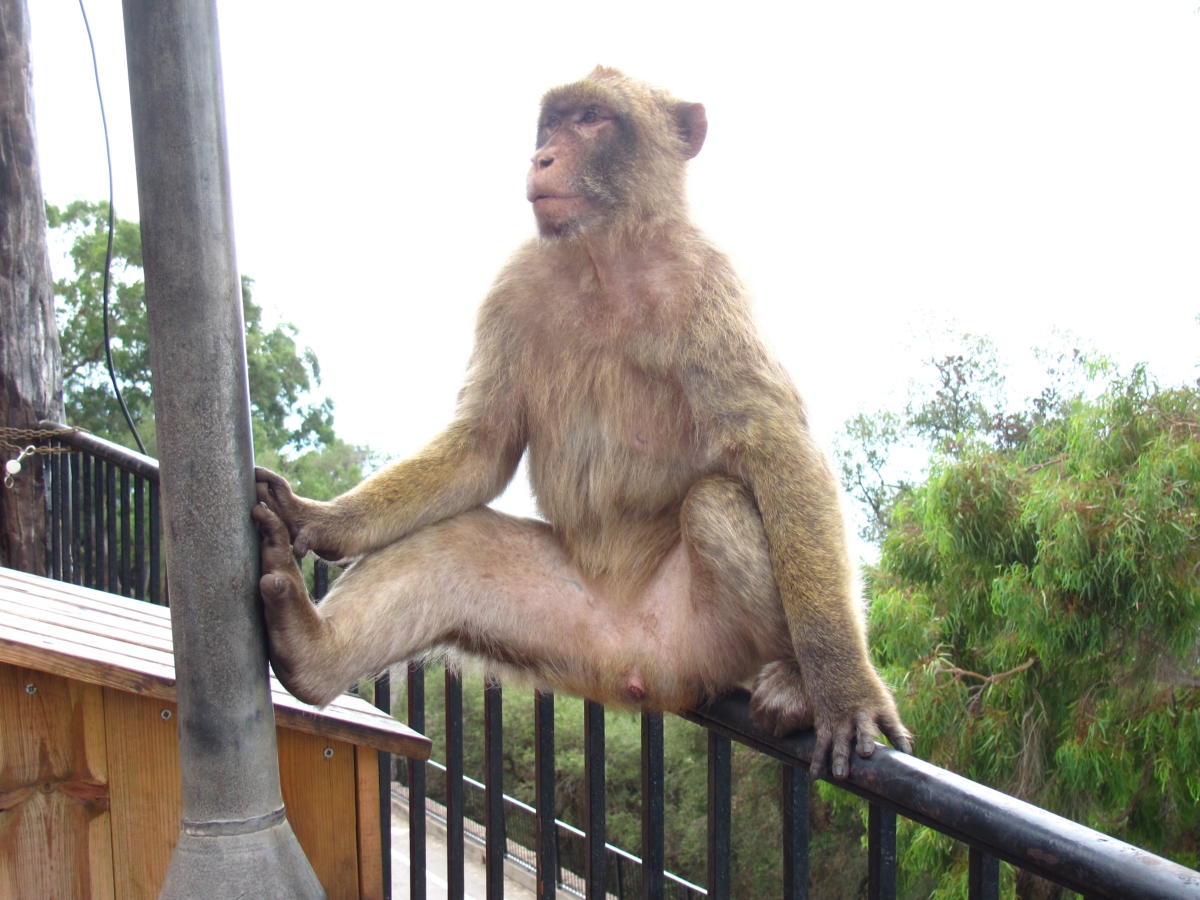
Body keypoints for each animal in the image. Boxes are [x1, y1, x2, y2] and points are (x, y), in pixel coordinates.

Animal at [252, 67, 912, 781]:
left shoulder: (710, 280)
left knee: (717, 503)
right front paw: (321, 520)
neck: (605, 261)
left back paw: (790, 679)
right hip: (566, 630)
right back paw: (308, 650)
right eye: (552, 123)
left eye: (593, 118)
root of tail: (638, 667)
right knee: (455, 545)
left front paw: (845, 691)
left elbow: (777, 448)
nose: (540, 157)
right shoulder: (512, 283)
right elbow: (482, 446)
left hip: (708, 642)